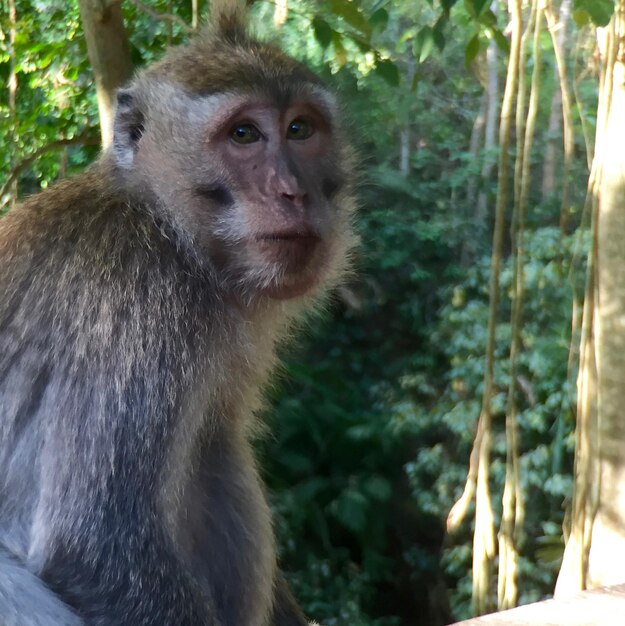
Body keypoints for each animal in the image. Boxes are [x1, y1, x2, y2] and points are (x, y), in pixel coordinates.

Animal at [0, 2, 356, 620]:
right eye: (243, 134)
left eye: (300, 129)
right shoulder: (137, 304)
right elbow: (92, 545)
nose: (293, 191)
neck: (164, 223)